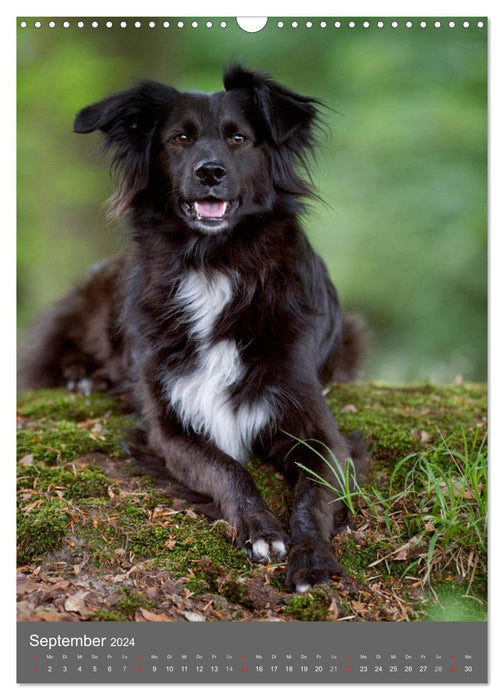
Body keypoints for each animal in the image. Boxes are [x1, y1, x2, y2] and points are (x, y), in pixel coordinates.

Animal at [19, 64, 366, 592]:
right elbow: (227, 467)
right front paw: (260, 530)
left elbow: (313, 495)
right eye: (180, 139)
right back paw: (85, 378)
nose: (210, 172)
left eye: (239, 139)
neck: (214, 264)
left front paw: (312, 557)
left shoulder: (318, 430)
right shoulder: (168, 427)